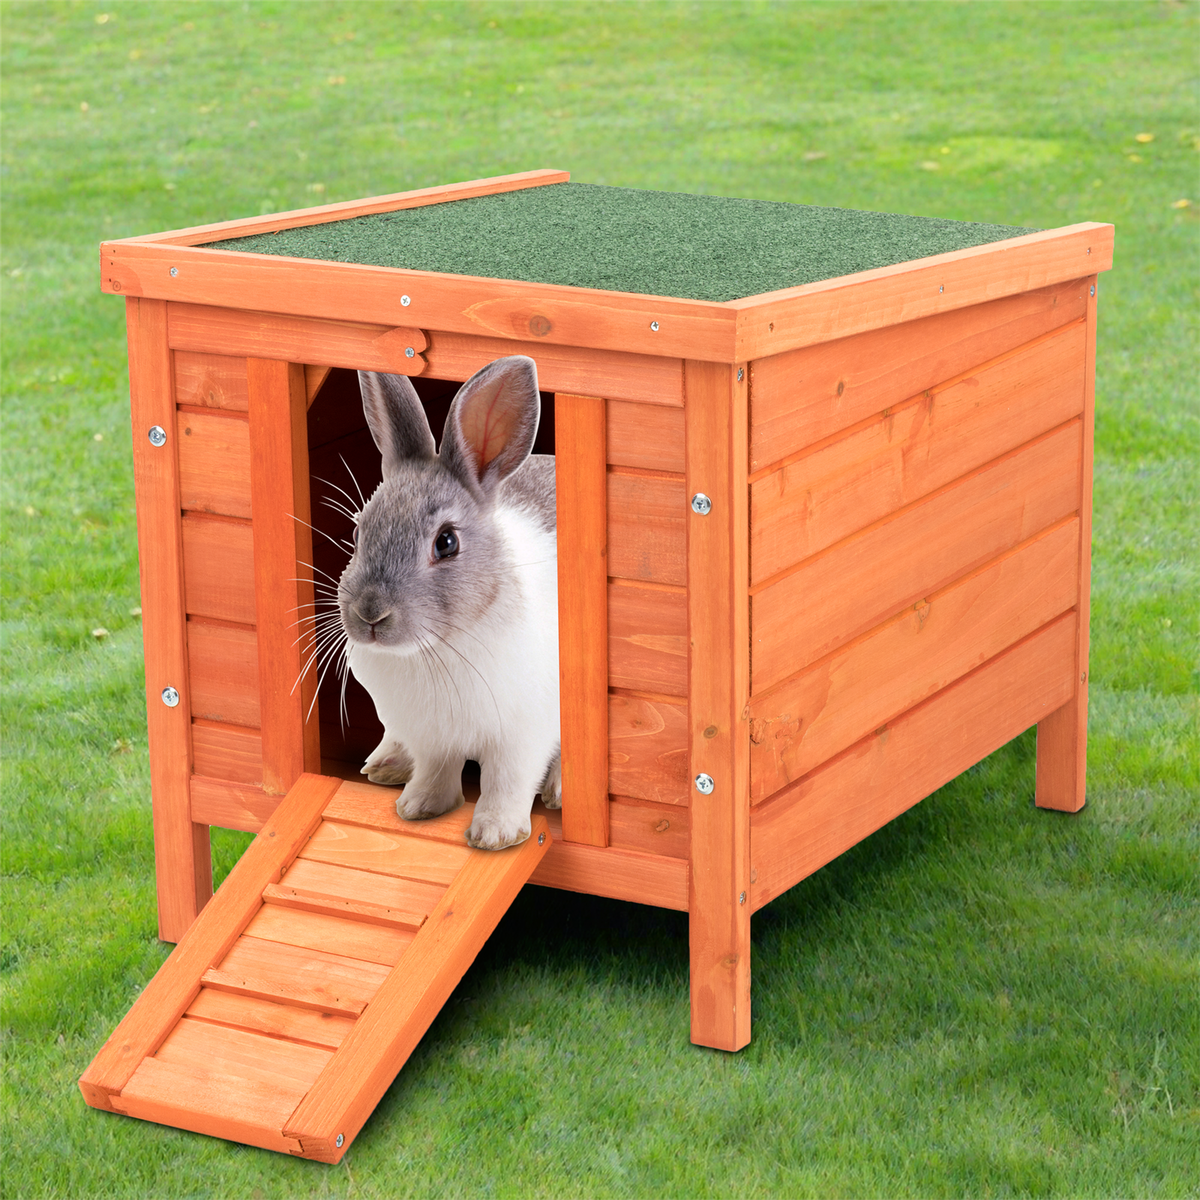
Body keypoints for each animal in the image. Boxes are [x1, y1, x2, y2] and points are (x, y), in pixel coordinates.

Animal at [337, 356, 561, 851]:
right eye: (359, 531)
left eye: (446, 542)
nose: (370, 614)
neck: (436, 650)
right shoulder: (432, 738)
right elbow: (437, 772)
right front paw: (418, 807)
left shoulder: (523, 735)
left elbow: (507, 782)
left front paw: (495, 835)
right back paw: (384, 767)